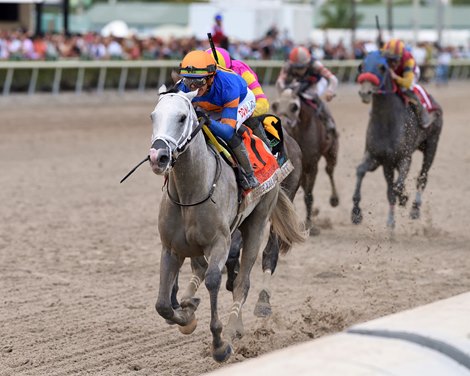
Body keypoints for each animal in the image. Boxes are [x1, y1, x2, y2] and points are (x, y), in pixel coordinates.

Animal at [149, 84, 306, 362]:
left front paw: (220, 343)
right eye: (153, 117)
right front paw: (186, 317)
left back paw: (236, 327)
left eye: (182, 118)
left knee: (244, 281)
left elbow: (214, 280)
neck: (191, 192)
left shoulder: (219, 243)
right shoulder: (171, 248)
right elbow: (163, 305)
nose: (158, 157)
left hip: (257, 222)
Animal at [270, 88, 340, 235]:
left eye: (294, 106)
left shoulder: (312, 164)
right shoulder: (301, 168)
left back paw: (334, 199)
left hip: (332, 151)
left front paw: (310, 226)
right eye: (275, 105)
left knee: (329, 170)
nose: (281, 123)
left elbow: (309, 195)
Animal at [354, 49, 442, 226]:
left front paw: (404, 199)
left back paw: (415, 209)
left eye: (382, 68)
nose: (365, 92)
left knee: (422, 178)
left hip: (432, 144)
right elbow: (361, 171)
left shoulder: (404, 158)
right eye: (361, 66)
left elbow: (398, 187)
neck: (387, 123)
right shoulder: (380, 158)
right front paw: (356, 213)